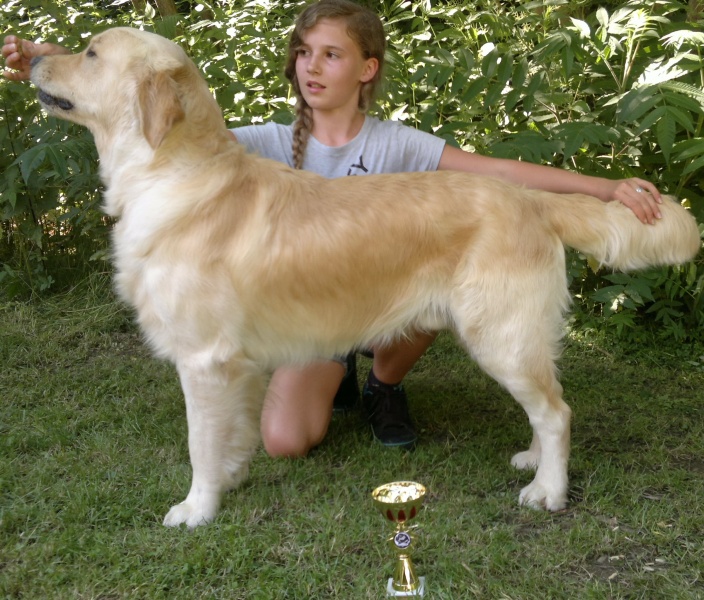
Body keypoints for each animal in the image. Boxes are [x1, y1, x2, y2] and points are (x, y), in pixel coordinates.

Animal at [30, 28, 700, 528]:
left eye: (90, 53)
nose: (31, 56)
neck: (173, 170)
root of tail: (531, 198)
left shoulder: (203, 357)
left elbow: (200, 441)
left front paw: (197, 508)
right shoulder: (234, 364)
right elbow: (232, 434)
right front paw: (230, 480)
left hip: (498, 334)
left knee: (557, 411)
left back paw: (548, 492)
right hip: (515, 334)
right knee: (548, 402)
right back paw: (533, 461)